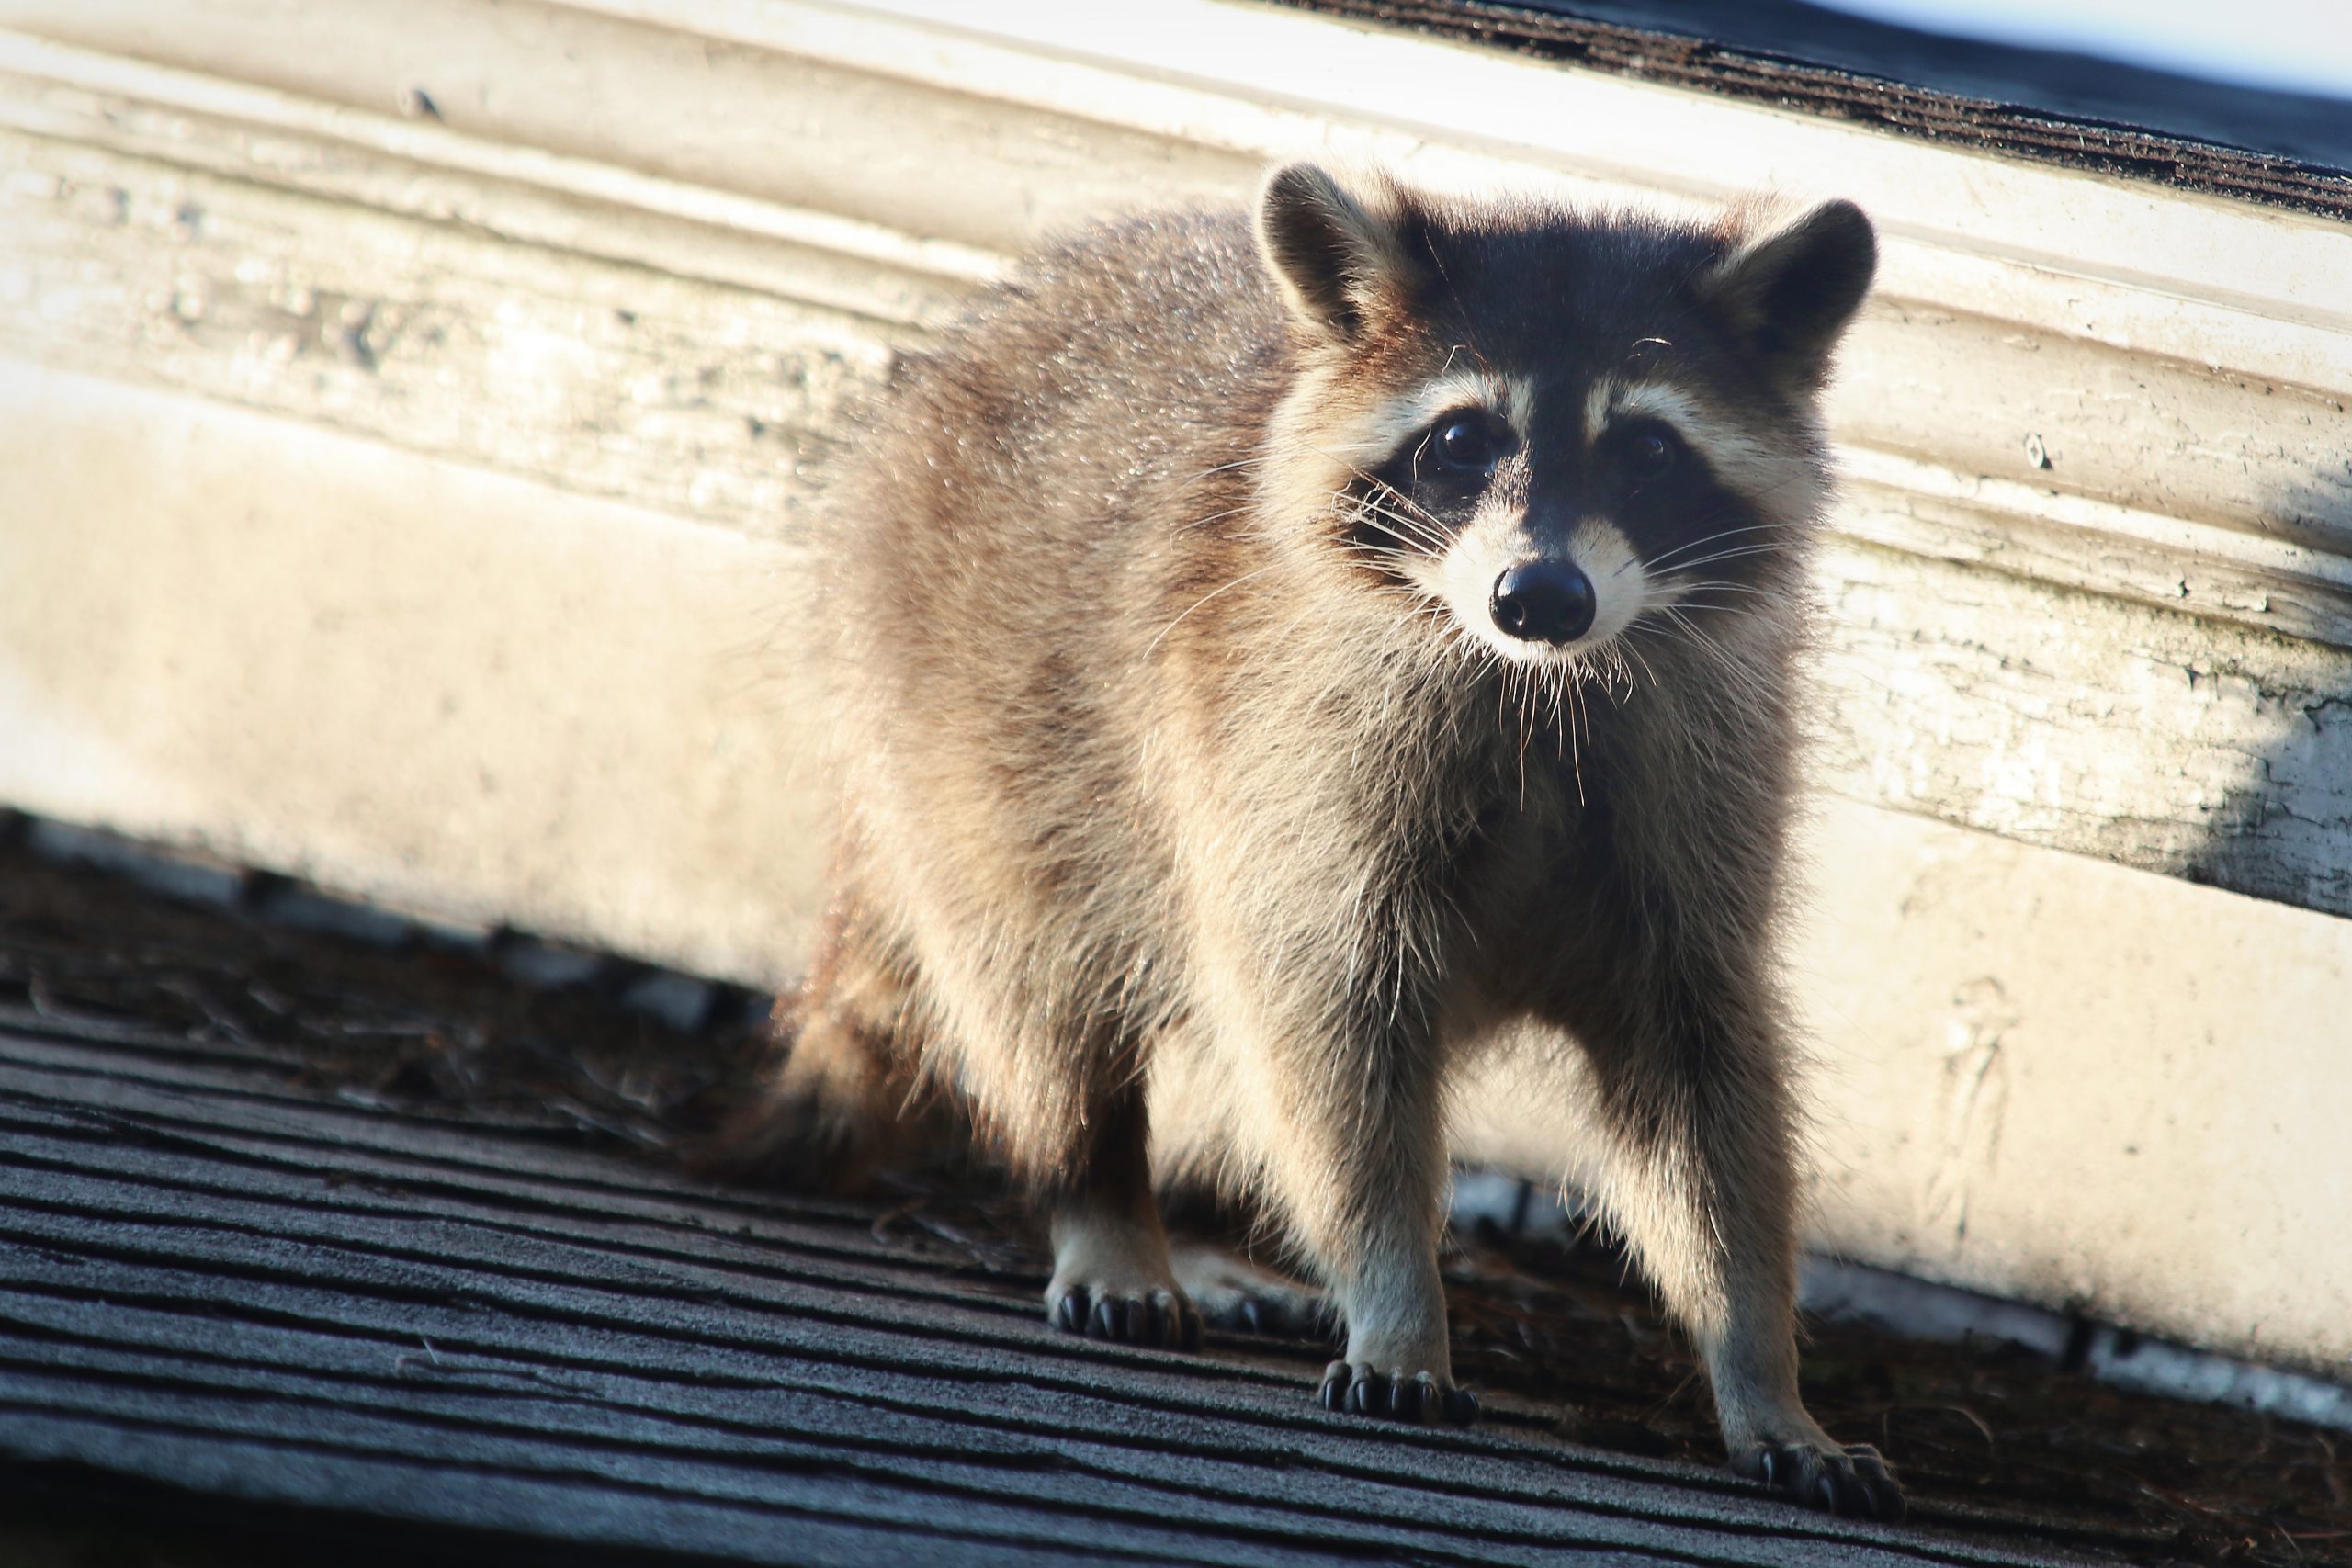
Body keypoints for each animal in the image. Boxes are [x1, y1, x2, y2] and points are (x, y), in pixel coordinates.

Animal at [737, 162, 1898, 1518]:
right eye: (1459, 442)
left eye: (1649, 449)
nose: (1539, 598)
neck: (1532, 685)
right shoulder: (1292, 763)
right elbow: (1335, 1045)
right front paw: (1397, 1302)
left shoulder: (1687, 812)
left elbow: (1706, 1088)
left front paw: (1759, 1360)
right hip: (961, 721)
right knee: (1041, 990)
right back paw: (1102, 1198)